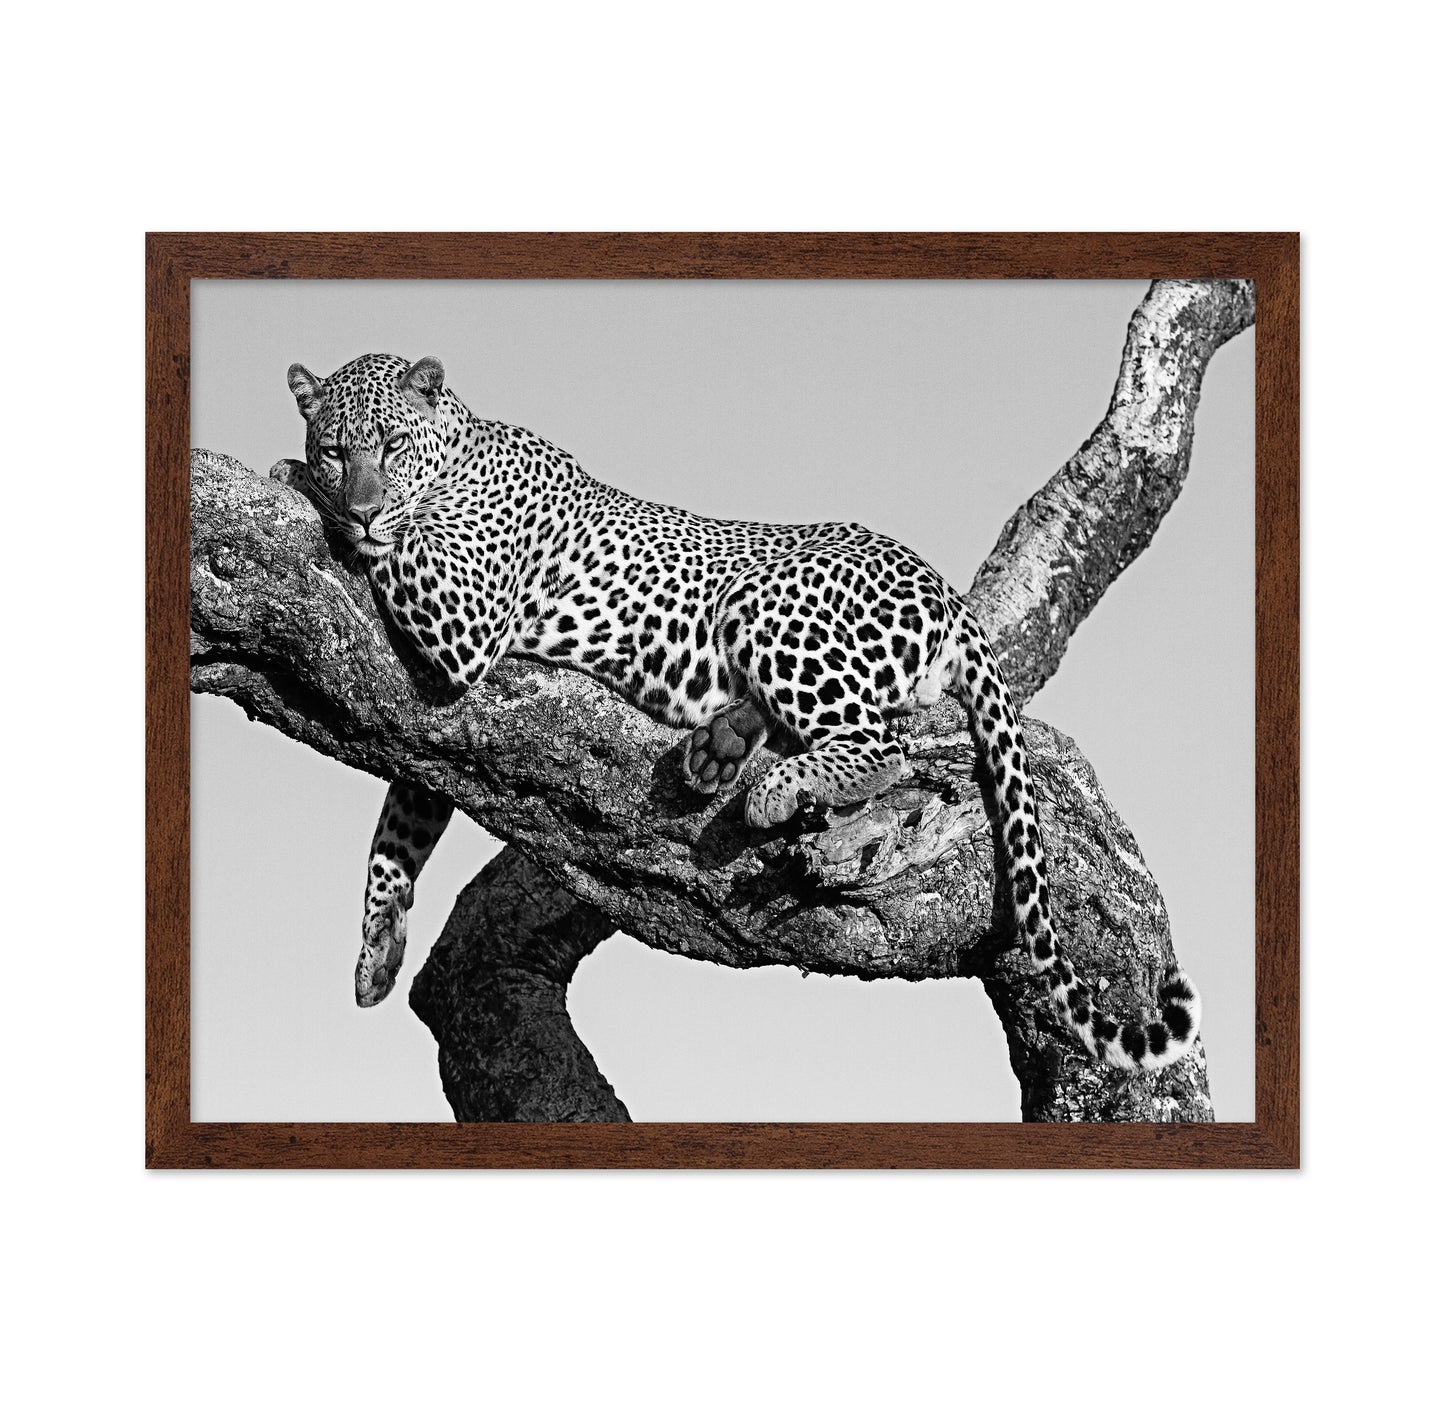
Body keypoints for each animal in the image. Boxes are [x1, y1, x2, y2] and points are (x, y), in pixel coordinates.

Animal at [273, 351, 1201, 1073]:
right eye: (337, 449)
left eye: (390, 446)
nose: (358, 504)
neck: (460, 448)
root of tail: (943, 588)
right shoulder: (432, 725)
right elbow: (402, 821)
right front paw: (377, 947)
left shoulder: (462, 617)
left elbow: (400, 553)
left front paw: (296, 483)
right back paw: (719, 746)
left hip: (768, 600)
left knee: (884, 742)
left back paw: (773, 785)